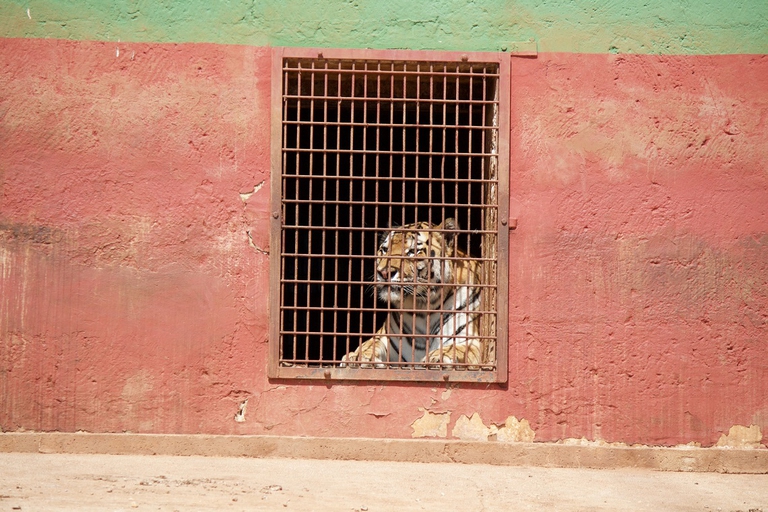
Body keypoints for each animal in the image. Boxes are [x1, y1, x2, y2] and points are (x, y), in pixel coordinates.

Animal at [341, 218, 485, 367]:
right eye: (385, 250)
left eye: (412, 251)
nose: (384, 273)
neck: (423, 307)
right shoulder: (384, 337)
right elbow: (368, 345)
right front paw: (356, 357)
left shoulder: (471, 340)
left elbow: (454, 349)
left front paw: (437, 358)